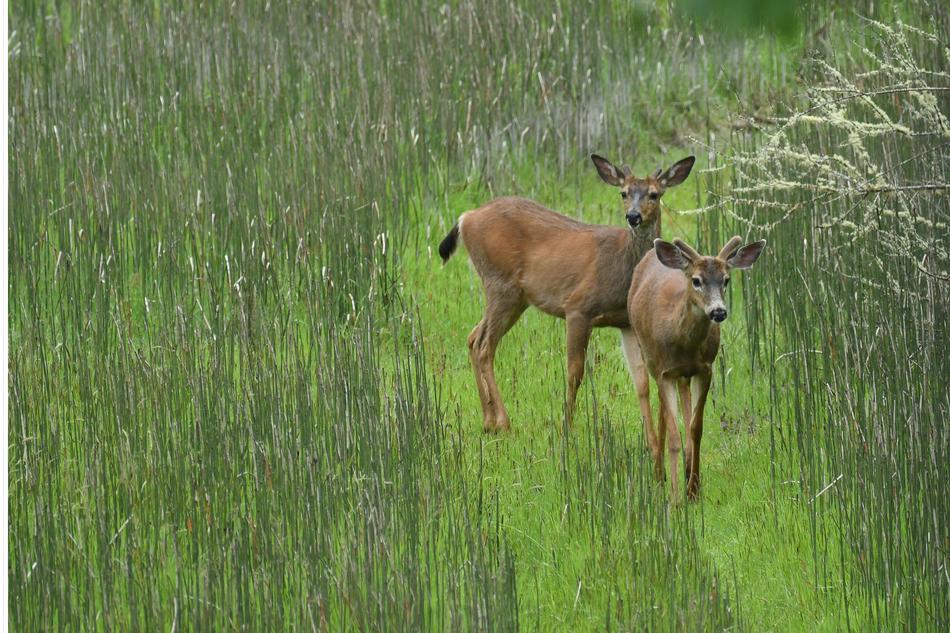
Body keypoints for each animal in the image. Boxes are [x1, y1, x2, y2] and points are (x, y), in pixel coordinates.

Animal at [438, 153, 696, 432]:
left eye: (654, 194)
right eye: (623, 193)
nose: (633, 216)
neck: (624, 267)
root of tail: (466, 218)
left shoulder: (625, 322)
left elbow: (641, 380)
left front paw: (651, 434)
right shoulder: (578, 308)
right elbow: (575, 372)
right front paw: (567, 426)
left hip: (515, 297)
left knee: (473, 337)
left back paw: (488, 420)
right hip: (500, 284)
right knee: (484, 346)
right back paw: (503, 422)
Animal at [624, 236, 766, 501]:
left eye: (726, 279)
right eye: (697, 280)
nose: (718, 311)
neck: (682, 343)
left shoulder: (704, 369)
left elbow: (695, 428)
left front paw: (693, 490)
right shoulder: (664, 371)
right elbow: (674, 435)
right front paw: (675, 498)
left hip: (682, 375)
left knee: (679, 406)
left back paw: (685, 468)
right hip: (649, 357)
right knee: (661, 410)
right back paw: (659, 474)